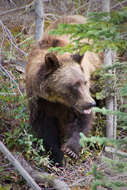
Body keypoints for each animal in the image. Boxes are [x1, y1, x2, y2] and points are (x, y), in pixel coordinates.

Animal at [25, 15, 101, 166]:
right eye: (74, 85)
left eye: (85, 82)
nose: (90, 103)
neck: (56, 99)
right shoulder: (40, 101)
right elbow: (44, 128)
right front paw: (56, 157)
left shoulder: (77, 102)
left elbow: (83, 120)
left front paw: (71, 150)